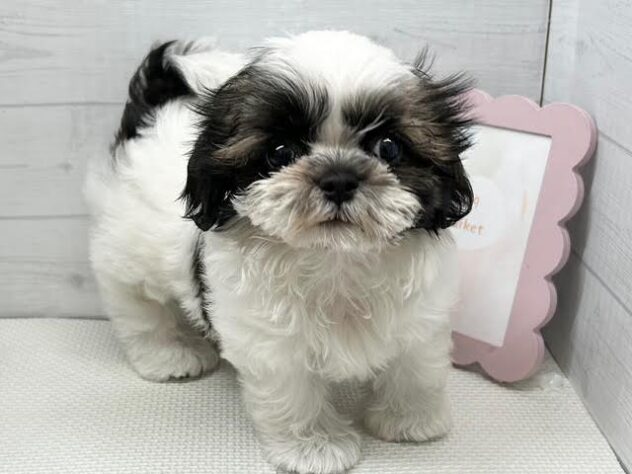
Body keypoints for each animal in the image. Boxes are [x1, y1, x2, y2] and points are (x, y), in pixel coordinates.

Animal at [86, 31, 473, 473]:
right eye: (280, 152)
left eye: (388, 147)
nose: (338, 178)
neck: (336, 260)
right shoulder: (271, 340)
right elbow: (294, 393)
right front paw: (315, 447)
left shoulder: (422, 318)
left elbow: (416, 369)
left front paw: (410, 421)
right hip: (126, 248)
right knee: (137, 302)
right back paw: (169, 354)